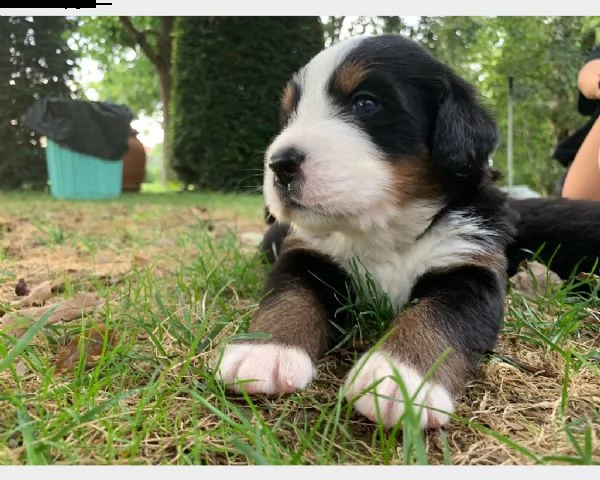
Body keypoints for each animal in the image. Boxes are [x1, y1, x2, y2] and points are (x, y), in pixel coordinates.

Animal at [214, 34, 600, 432]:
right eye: (290, 114)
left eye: (365, 103)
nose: (279, 164)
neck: (385, 230)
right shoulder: (306, 253)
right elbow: (290, 296)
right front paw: (265, 350)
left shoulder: (469, 266)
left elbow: (436, 318)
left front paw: (397, 378)